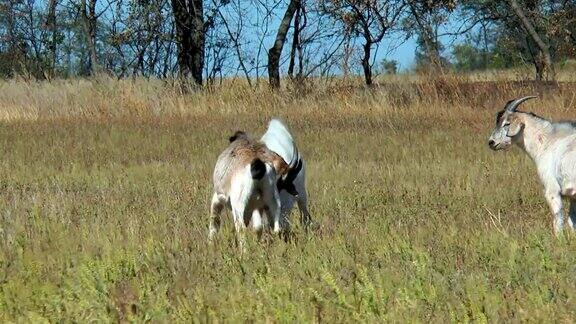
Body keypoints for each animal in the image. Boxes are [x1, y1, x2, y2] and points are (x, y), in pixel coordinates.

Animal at [488, 96, 576, 235]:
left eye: (507, 123)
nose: (491, 142)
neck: (549, 142)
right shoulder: (572, 196)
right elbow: (572, 222)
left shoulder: (552, 190)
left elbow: (558, 220)